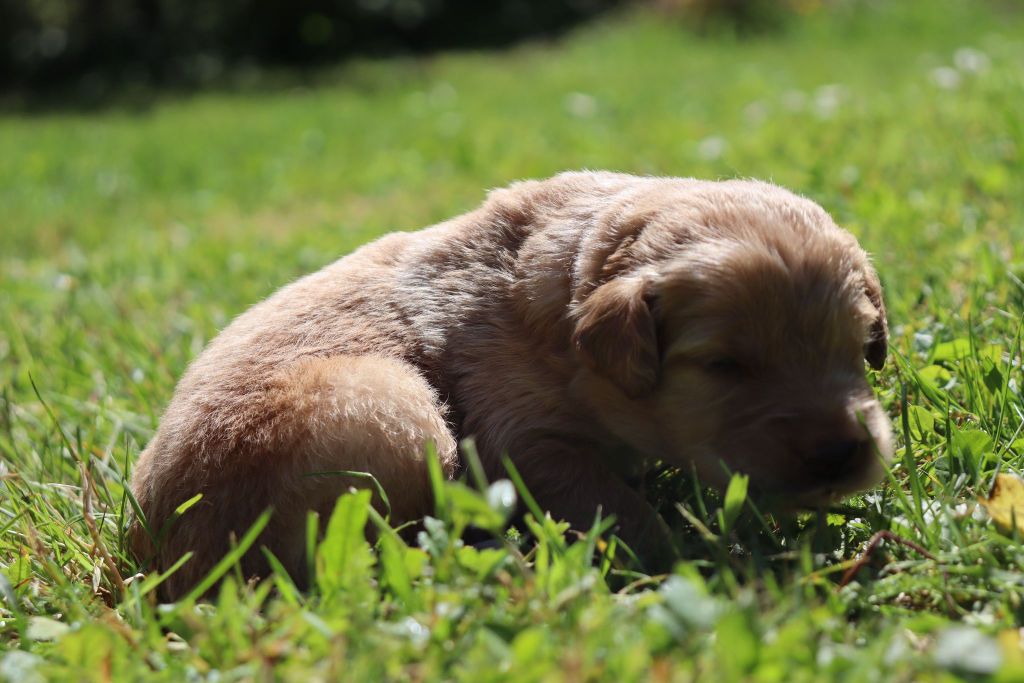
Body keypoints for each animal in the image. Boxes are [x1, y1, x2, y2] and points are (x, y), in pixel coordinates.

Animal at [129, 171, 893, 598]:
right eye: (725, 365)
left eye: (859, 347)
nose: (841, 455)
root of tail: (160, 565)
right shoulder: (525, 439)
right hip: (389, 408)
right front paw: (695, 555)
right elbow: (616, 507)